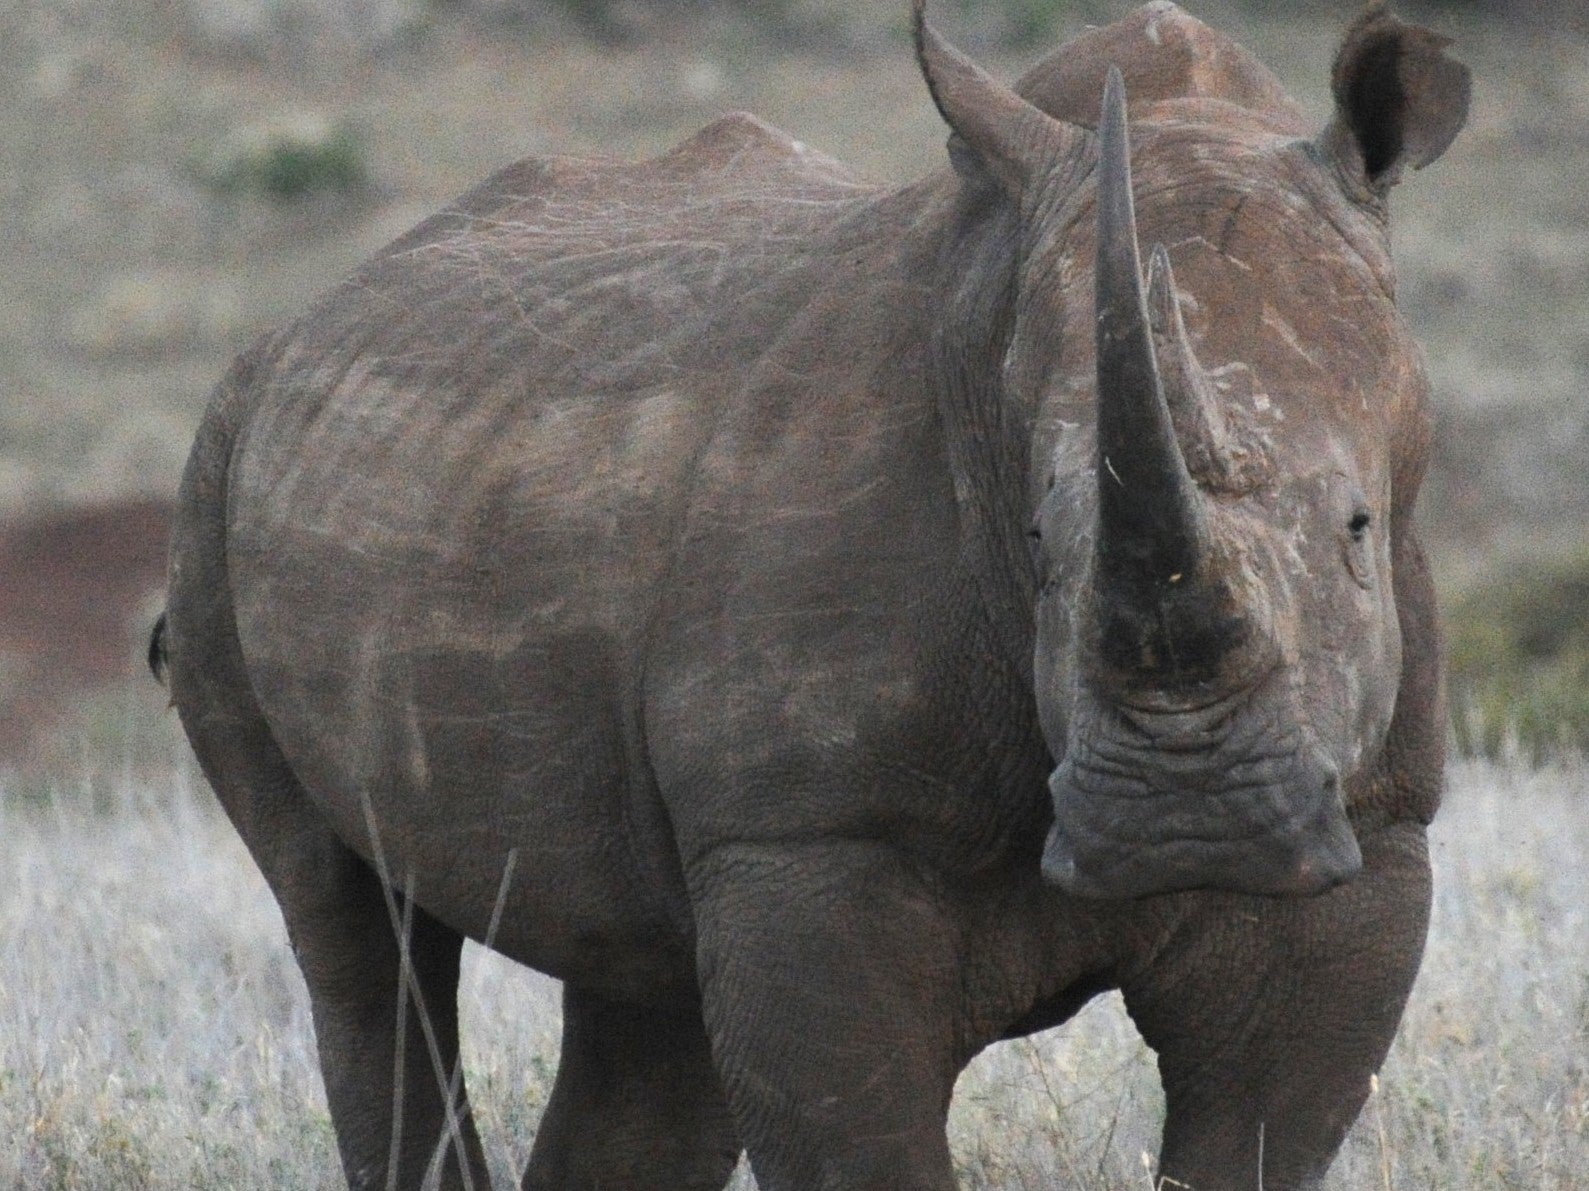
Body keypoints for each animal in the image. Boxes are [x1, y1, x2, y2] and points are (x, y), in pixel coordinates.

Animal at [154, 4, 1468, 1187]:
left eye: (1357, 527)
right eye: (1035, 538)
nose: (1183, 819)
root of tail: (308, 318)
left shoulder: (1372, 830)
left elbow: (1257, 1129)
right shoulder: (802, 836)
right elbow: (849, 1125)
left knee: (644, 999)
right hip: (214, 477)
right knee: (350, 931)